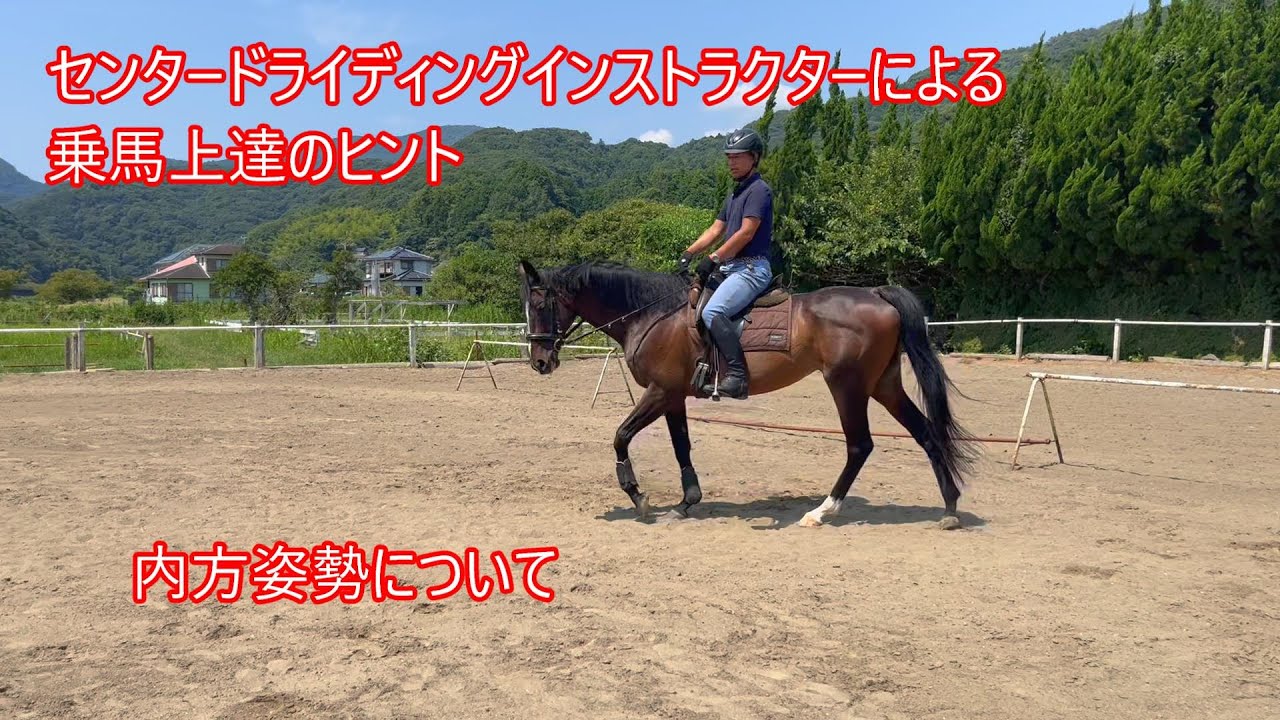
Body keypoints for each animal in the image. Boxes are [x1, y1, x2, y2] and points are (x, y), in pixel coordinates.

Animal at [516, 258, 980, 529]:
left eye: (539, 305)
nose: (540, 361)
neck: (653, 314)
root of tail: (876, 294)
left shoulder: (659, 391)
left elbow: (620, 436)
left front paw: (638, 496)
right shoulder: (674, 396)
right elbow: (681, 446)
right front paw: (687, 502)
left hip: (847, 385)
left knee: (859, 445)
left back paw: (822, 511)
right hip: (884, 385)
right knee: (926, 433)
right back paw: (950, 508)